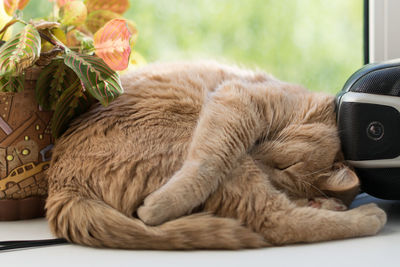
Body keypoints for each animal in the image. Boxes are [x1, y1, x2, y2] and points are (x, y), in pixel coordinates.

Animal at [45, 60, 386, 249]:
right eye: (284, 164)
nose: (261, 164)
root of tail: (62, 187)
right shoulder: (237, 98)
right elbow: (206, 165)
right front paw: (159, 206)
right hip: (228, 162)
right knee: (275, 220)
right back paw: (368, 215)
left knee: (277, 220)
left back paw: (356, 214)